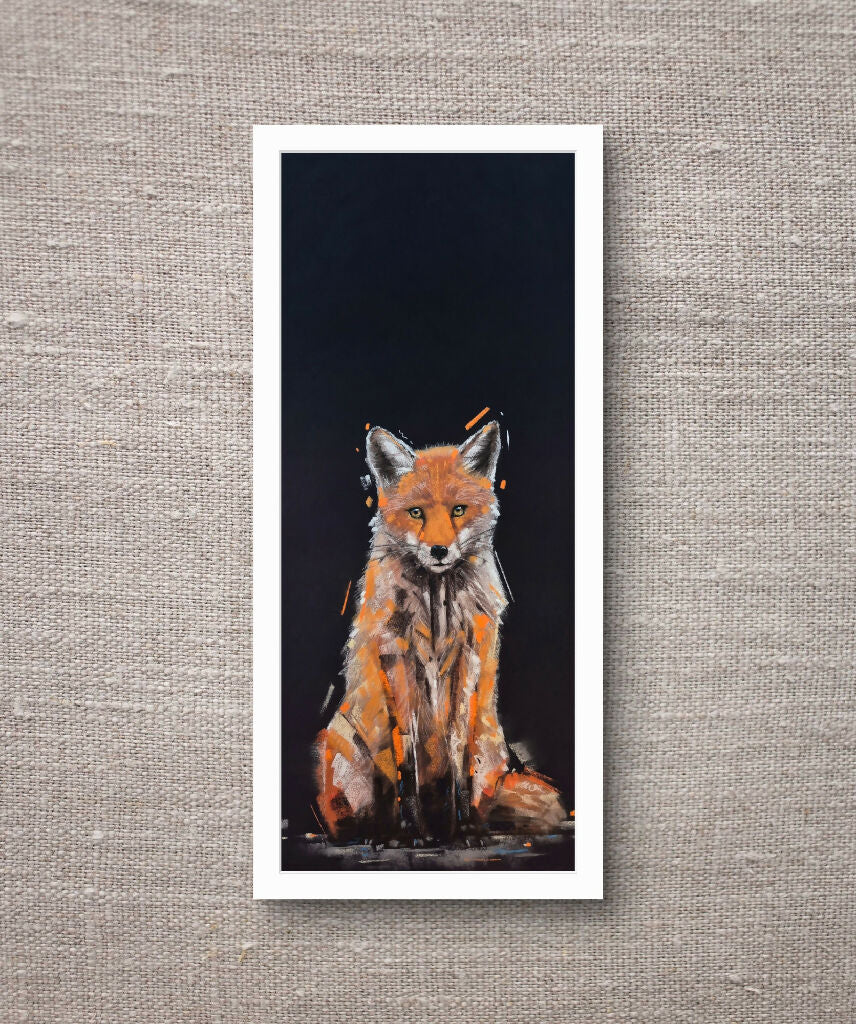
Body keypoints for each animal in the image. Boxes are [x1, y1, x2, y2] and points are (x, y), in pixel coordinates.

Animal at [314, 421, 567, 843]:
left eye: (458, 510)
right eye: (416, 512)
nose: (438, 550)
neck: (436, 609)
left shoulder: (469, 657)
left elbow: (457, 752)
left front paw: (462, 828)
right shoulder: (396, 656)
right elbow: (408, 759)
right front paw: (412, 830)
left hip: (490, 751)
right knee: (360, 812)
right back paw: (381, 832)